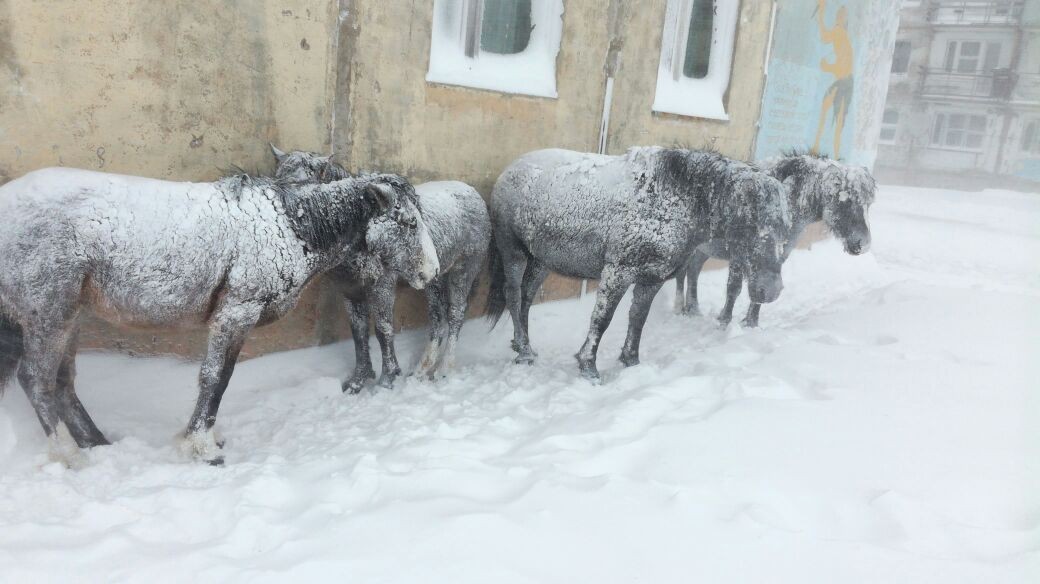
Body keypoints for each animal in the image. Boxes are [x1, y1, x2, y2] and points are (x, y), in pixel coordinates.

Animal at [0, 166, 436, 461]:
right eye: (406, 222)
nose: (429, 271)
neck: (289, 227)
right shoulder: (236, 313)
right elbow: (216, 378)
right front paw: (203, 446)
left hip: (70, 316)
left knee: (63, 383)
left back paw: (98, 444)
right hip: (49, 314)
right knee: (36, 380)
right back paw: (69, 456)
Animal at [272, 147, 490, 388]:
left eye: (301, 185)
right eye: (277, 179)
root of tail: (472, 193)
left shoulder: (382, 286)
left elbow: (383, 328)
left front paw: (388, 379)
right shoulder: (350, 291)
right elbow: (358, 332)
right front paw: (358, 380)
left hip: (464, 269)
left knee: (455, 314)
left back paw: (443, 369)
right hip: (434, 280)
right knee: (437, 317)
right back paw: (422, 369)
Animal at [484, 147, 786, 380]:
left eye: (784, 225)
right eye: (753, 221)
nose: (771, 290)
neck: (674, 202)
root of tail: (512, 169)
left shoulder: (652, 279)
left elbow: (638, 318)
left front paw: (631, 361)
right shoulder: (617, 272)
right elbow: (602, 320)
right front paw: (589, 368)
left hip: (541, 261)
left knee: (525, 297)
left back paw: (523, 344)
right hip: (513, 252)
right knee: (513, 295)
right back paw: (524, 351)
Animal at [669, 152, 873, 324]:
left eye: (868, 203)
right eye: (845, 200)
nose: (863, 244)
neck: (784, 205)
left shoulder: (777, 257)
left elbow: (764, 289)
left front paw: (751, 323)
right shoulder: (738, 256)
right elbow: (734, 288)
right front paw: (724, 322)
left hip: (703, 250)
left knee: (693, 270)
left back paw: (692, 309)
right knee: (683, 273)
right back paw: (682, 309)